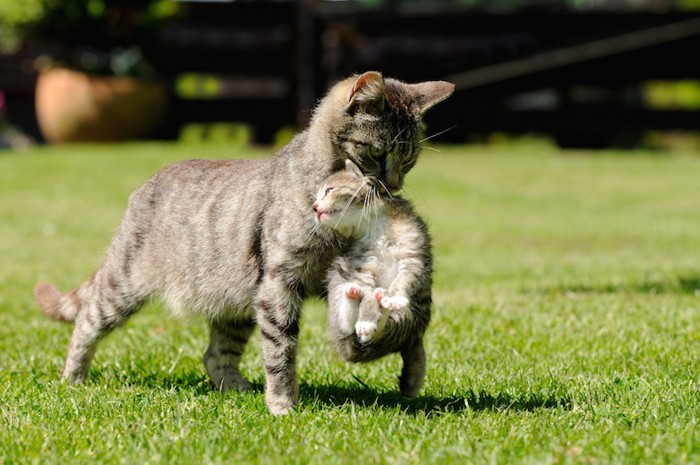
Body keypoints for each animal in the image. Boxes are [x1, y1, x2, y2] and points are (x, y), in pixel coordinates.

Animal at [314, 160, 432, 396]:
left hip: (408, 315)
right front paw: (367, 315)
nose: (314, 207)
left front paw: (393, 297)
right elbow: (367, 292)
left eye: (329, 190)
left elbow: (404, 279)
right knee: (351, 327)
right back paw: (354, 298)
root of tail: (412, 338)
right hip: (338, 275)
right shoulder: (365, 265)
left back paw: (381, 307)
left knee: (379, 334)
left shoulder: (412, 254)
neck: (374, 224)